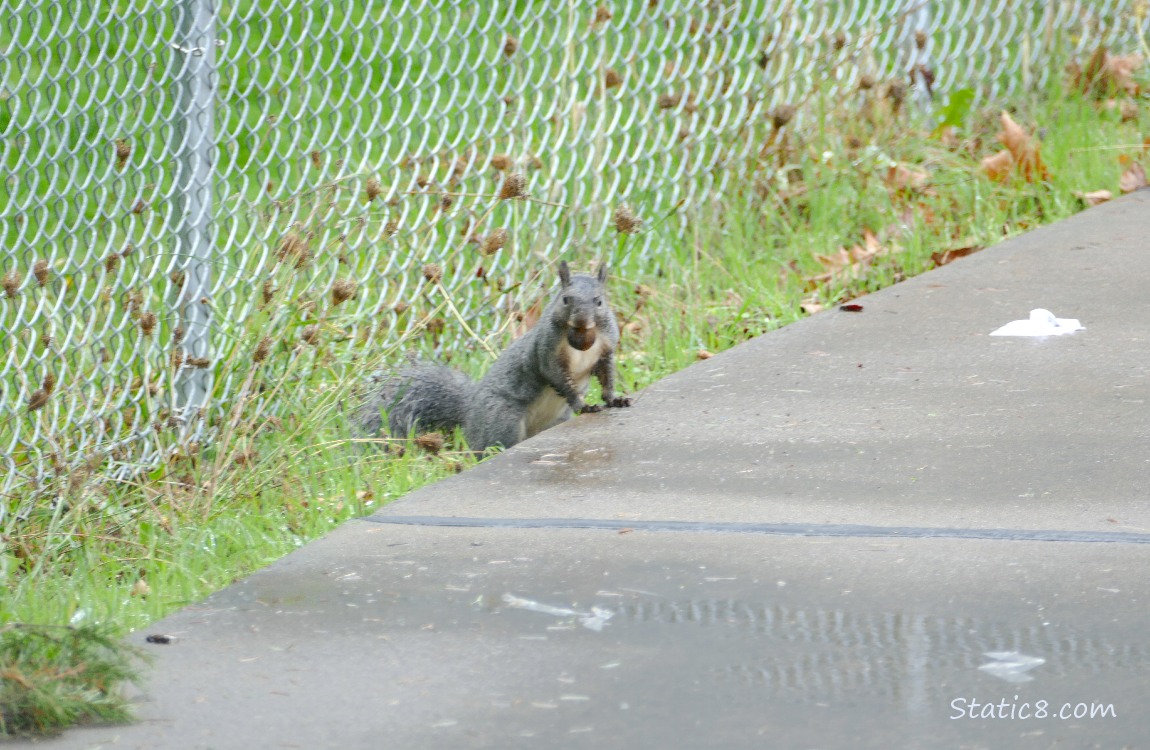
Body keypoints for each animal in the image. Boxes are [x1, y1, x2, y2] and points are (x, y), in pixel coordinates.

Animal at [356, 261, 631, 452]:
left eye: (599, 301)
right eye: (565, 300)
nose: (582, 320)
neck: (583, 337)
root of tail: (469, 412)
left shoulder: (605, 349)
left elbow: (606, 376)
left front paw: (614, 399)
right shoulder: (546, 351)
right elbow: (557, 376)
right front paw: (583, 404)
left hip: (553, 420)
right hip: (502, 418)